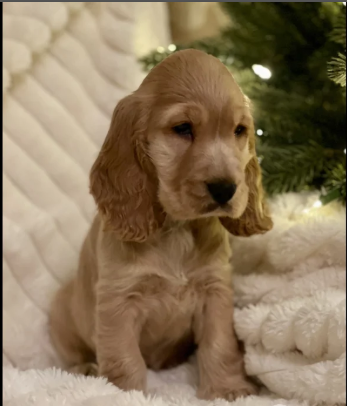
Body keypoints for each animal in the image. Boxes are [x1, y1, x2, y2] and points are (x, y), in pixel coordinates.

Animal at [50, 49, 274, 402]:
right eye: (182, 128)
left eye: (239, 130)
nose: (225, 189)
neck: (177, 229)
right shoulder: (118, 300)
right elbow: (124, 358)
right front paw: (123, 394)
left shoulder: (215, 290)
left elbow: (220, 345)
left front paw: (227, 389)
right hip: (61, 312)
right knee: (75, 354)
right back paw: (85, 368)